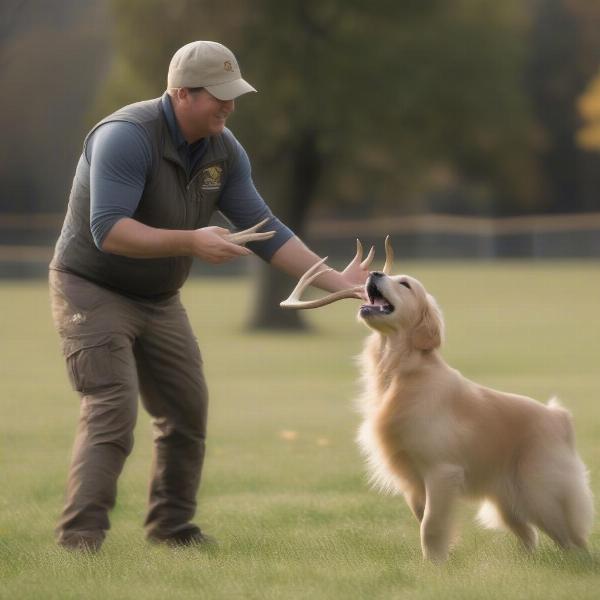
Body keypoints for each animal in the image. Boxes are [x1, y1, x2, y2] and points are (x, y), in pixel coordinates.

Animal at [354, 272, 592, 564]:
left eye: (405, 284)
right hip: (508, 504)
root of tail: (558, 416)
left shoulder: (441, 471)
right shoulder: (414, 482)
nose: (374, 273)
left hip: (541, 495)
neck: (403, 370)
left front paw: (434, 565)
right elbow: (423, 517)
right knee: (530, 534)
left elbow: (430, 525)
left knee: (572, 538)